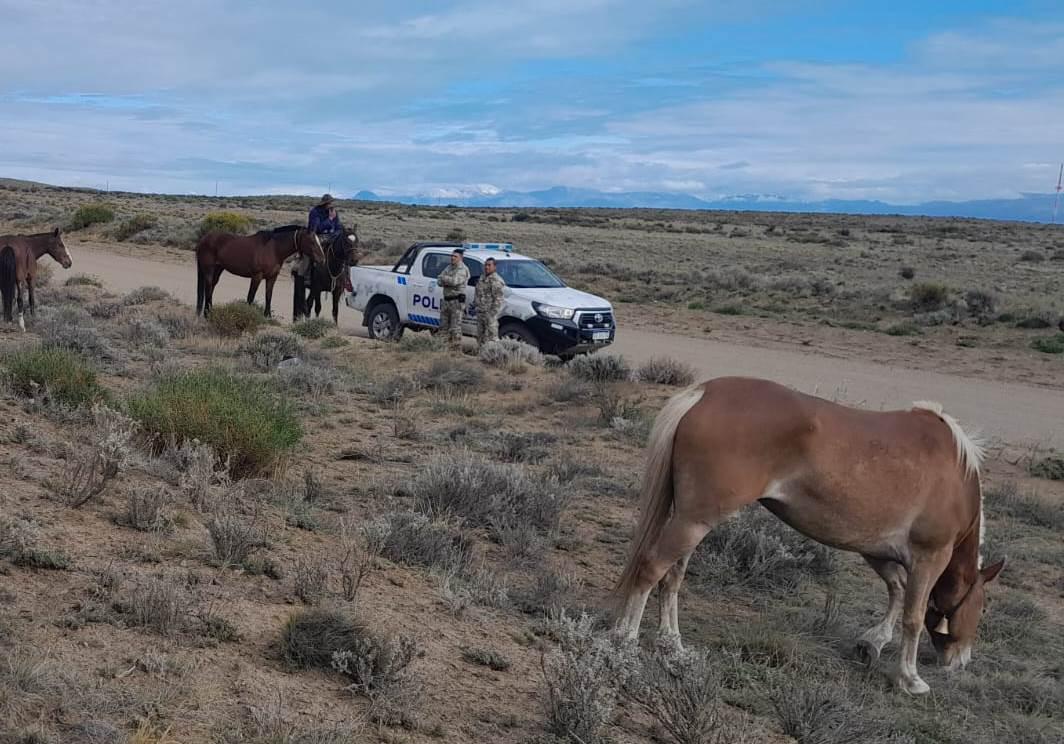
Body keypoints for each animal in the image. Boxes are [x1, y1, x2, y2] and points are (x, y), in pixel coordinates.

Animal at [195, 226, 325, 318]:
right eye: (312, 241)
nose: (322, 259)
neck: (273, 249)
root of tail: (204, 239)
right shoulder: (257, 277)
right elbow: (250, 297)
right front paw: (247, 315)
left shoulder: (272, 278)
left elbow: (268, 296)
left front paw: (267, 316)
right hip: (209, 269)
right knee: (208, 287)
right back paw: (206, 314)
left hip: (218, 269)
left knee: (212, 287)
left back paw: (210, 311)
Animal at [614, 376, 1004, 696]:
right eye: (982, 609)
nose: (960, 661)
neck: (957, 477)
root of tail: (703, 393)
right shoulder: (929, 557)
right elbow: (913, 614)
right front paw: (910, 678)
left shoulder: (875, 549)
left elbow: (896, 590)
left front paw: (873, 643)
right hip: (693, 521)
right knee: (651, 569)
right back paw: (625, 643)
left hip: (690, 520)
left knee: (671, 578)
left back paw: (672, 646)